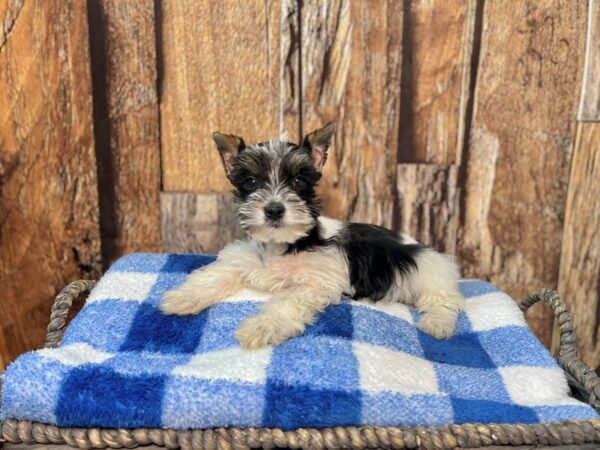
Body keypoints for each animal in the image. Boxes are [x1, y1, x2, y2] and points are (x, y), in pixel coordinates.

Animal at [159, 124, 464, 352]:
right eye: (251, 182)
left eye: (298, 182)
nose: (274, 209)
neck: (283, 244)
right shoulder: (246, 259)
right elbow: (218, 273)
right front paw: (183, 298)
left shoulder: (317, 280)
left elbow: (287, 301)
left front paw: (261, 327)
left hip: (427, 272)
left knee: (444, 300)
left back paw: (437, 324)